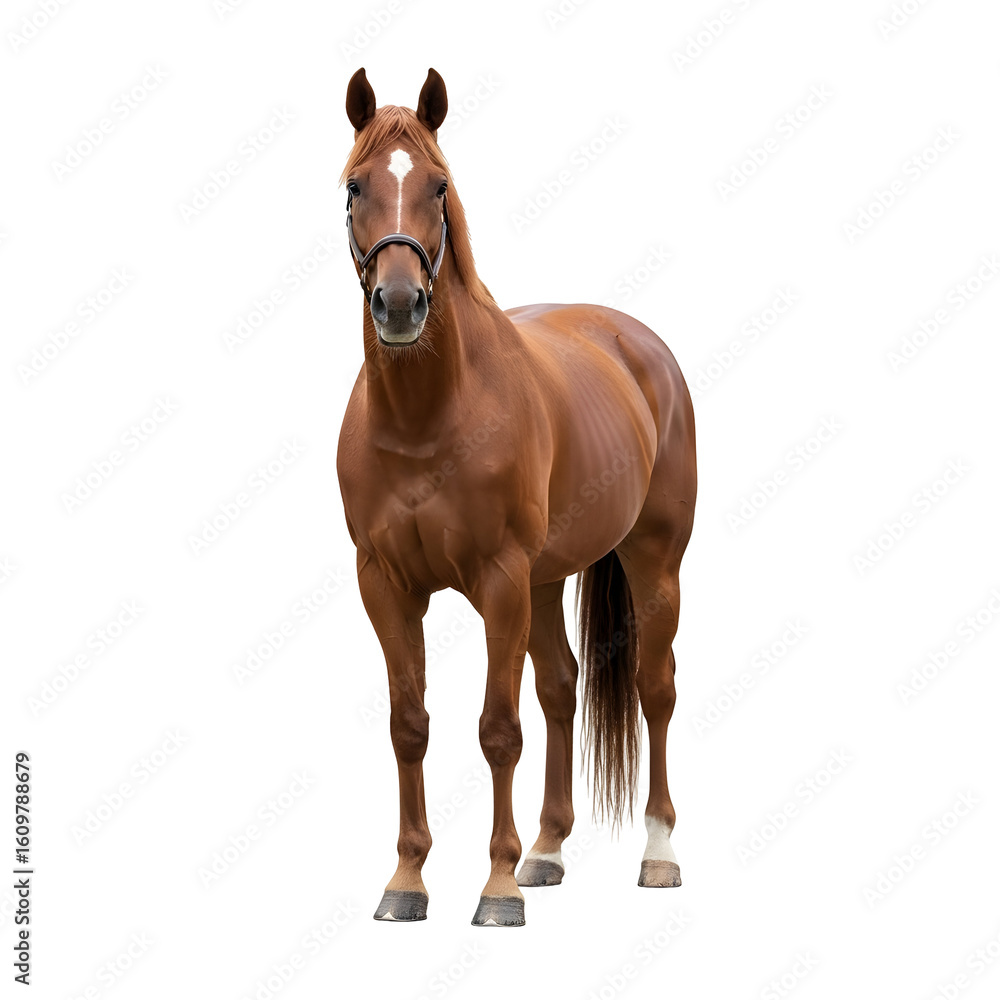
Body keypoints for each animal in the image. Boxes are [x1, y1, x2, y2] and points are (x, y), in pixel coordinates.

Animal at [336, 68, 697, 927]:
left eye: (438, 186)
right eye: (355, 186)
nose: (399, 305)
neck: (428, 416)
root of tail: (635, 342)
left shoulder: (498, 579)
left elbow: (498, 728)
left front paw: (495, 891)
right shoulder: (384, 584)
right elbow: (409, 725)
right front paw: (407, 881)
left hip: (652, 561)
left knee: (655, 689)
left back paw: (658, 852)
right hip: (545, 579)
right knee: (562, 688)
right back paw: (547, 849)